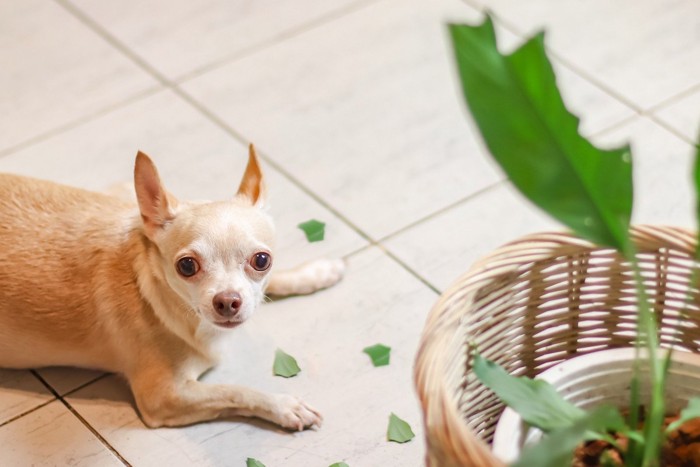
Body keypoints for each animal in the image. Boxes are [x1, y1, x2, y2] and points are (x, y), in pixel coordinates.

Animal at [0, 146, 344, 432]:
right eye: (187, 266)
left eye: (262, 260)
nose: (228, 301)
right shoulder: (165, 398)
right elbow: (233, 390)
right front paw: (284, 406)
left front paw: (316, 272)